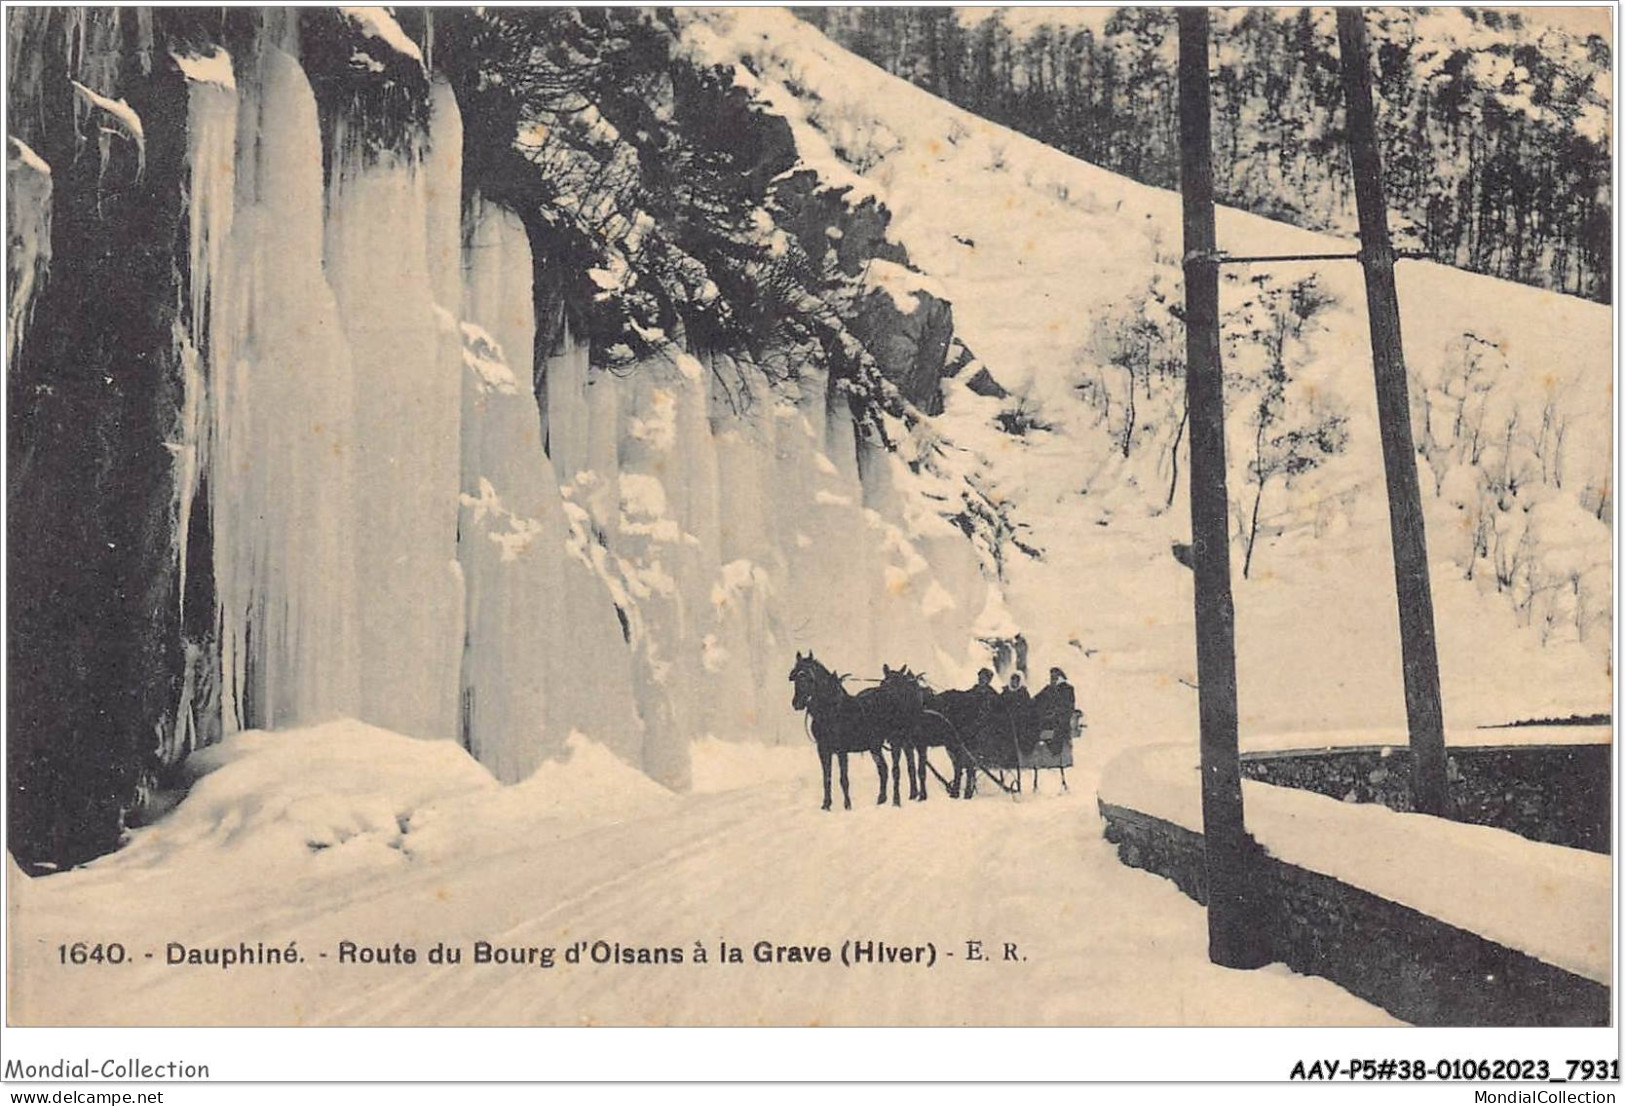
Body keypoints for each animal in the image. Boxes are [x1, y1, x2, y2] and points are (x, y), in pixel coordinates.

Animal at [793, 652, 923, 805]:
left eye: (807, 677)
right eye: (795, 677)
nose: (796, 703)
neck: (832, 711)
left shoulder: (841, 750)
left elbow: (843, 779)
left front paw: (847, 805)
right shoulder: (823, 749)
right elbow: (827, 778)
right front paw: (826, 805)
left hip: (896, 740)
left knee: (897, 769)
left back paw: (897, 801)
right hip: (876, 746)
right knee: (885, 769)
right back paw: (883, 799)